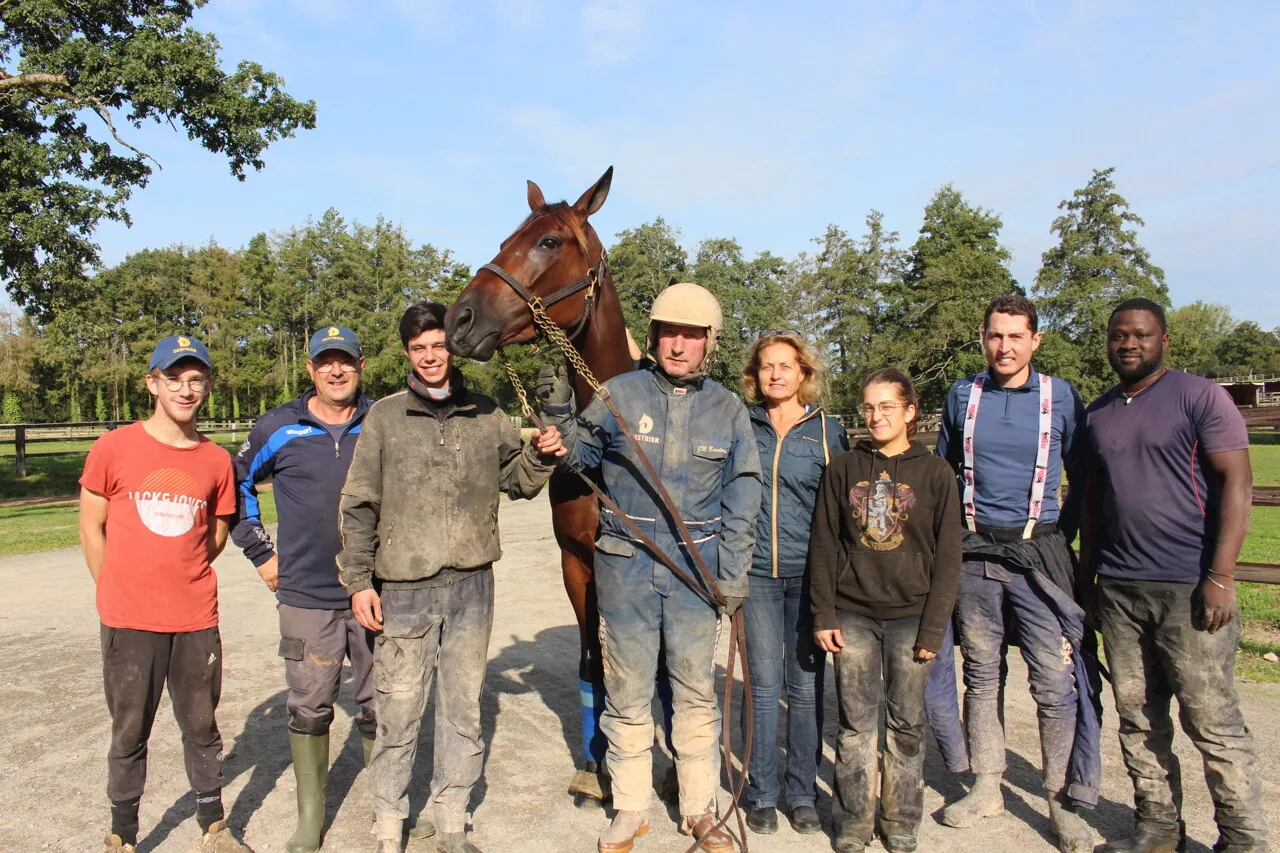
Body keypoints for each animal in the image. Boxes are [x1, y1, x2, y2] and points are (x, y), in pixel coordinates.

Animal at [445, 163, 634, 799]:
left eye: (550, 241)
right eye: (507, 237)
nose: (459, 320)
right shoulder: (576, 561)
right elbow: (591, 665)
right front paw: (596, 766)